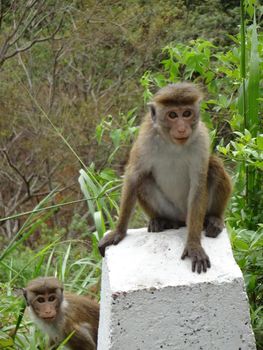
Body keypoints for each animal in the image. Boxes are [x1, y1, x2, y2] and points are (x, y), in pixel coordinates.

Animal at [99, 82, 233, 274]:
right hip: (170, 210)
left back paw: (214, 219)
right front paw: (118, 232)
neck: (172, 143)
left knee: (214, 165)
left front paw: (193, 245)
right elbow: (134, 176)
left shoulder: (201, 138)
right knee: (144, 179)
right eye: (172, 115)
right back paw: (161, 221)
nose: (182, 128)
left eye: (187, 113)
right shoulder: (146, 138)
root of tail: (181, 219)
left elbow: (198, 185)